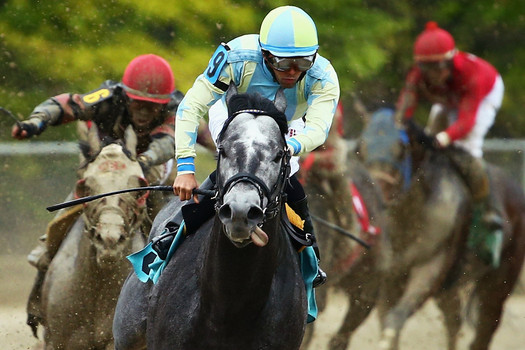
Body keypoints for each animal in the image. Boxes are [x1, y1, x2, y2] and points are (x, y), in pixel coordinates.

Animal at [358, 108, 524, 348]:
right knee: (453, 321)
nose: (373, 193)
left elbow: (395, 319)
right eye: (360, 147)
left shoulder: (433, 265)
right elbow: (388, 319)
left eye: (402, 148)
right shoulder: (391, 275)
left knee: (483, 331)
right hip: (451, 288)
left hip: (498, 284)